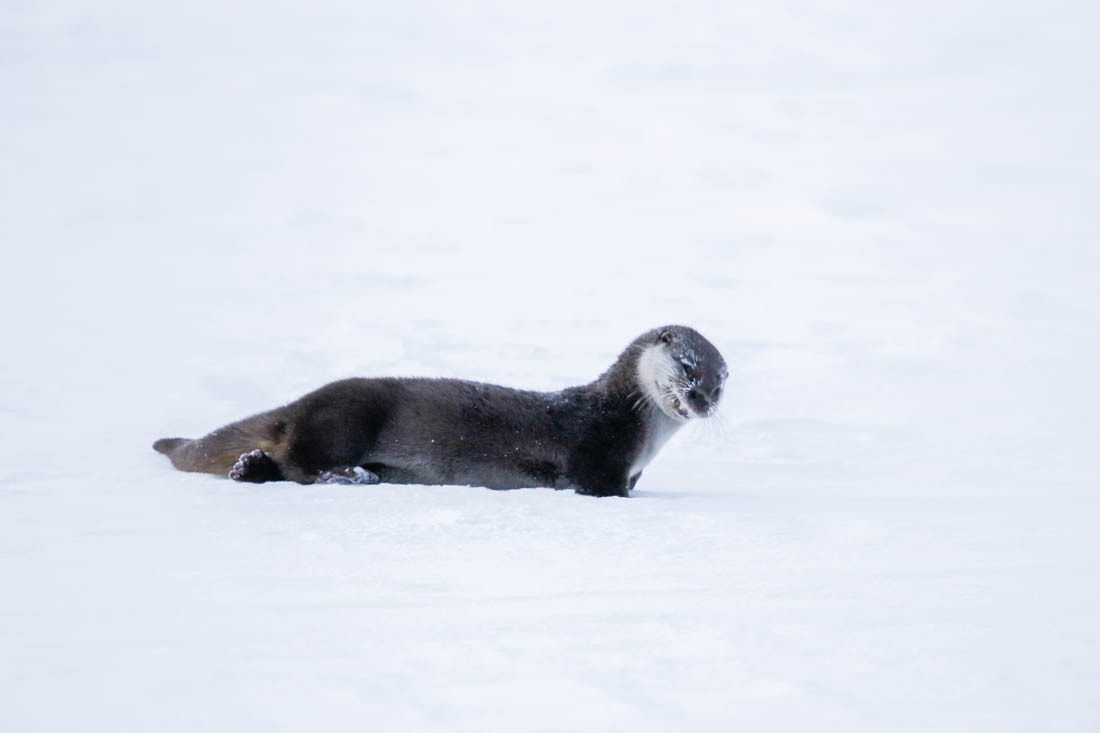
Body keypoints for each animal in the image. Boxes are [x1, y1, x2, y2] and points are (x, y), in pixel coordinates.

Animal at [150, 325, 726, 497]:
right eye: (688, 367)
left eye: (721, 383)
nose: (701, 401)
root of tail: (300, 403)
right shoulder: (596, 454)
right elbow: (601, 488)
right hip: (349, 413)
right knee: (303, 461)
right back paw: (356, 476)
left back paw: (247, 468)